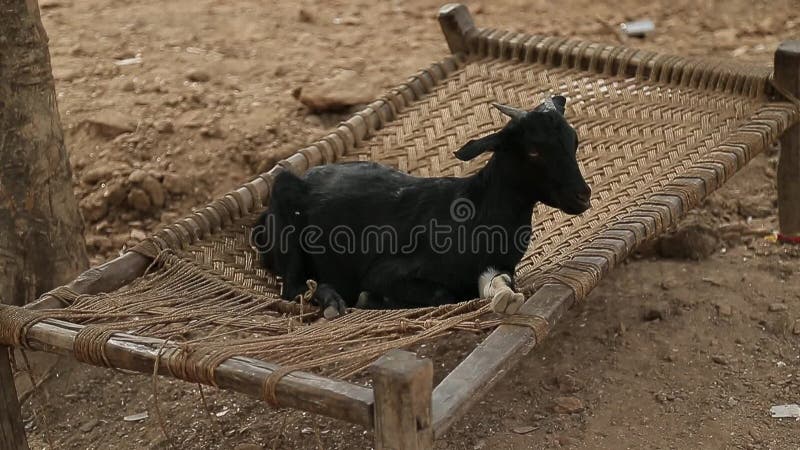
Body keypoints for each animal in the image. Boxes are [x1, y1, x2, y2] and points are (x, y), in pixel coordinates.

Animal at [253, 96, 592, 318]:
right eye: (534, 151)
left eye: (574, 141)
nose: (583, 196)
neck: (476, 210)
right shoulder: (384, 272)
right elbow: (442, 293)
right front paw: (367, 299)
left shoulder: (497, 268)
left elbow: (497, 283)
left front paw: (505, 298)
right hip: (285, 213)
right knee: (294, 289)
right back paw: (333, 302)